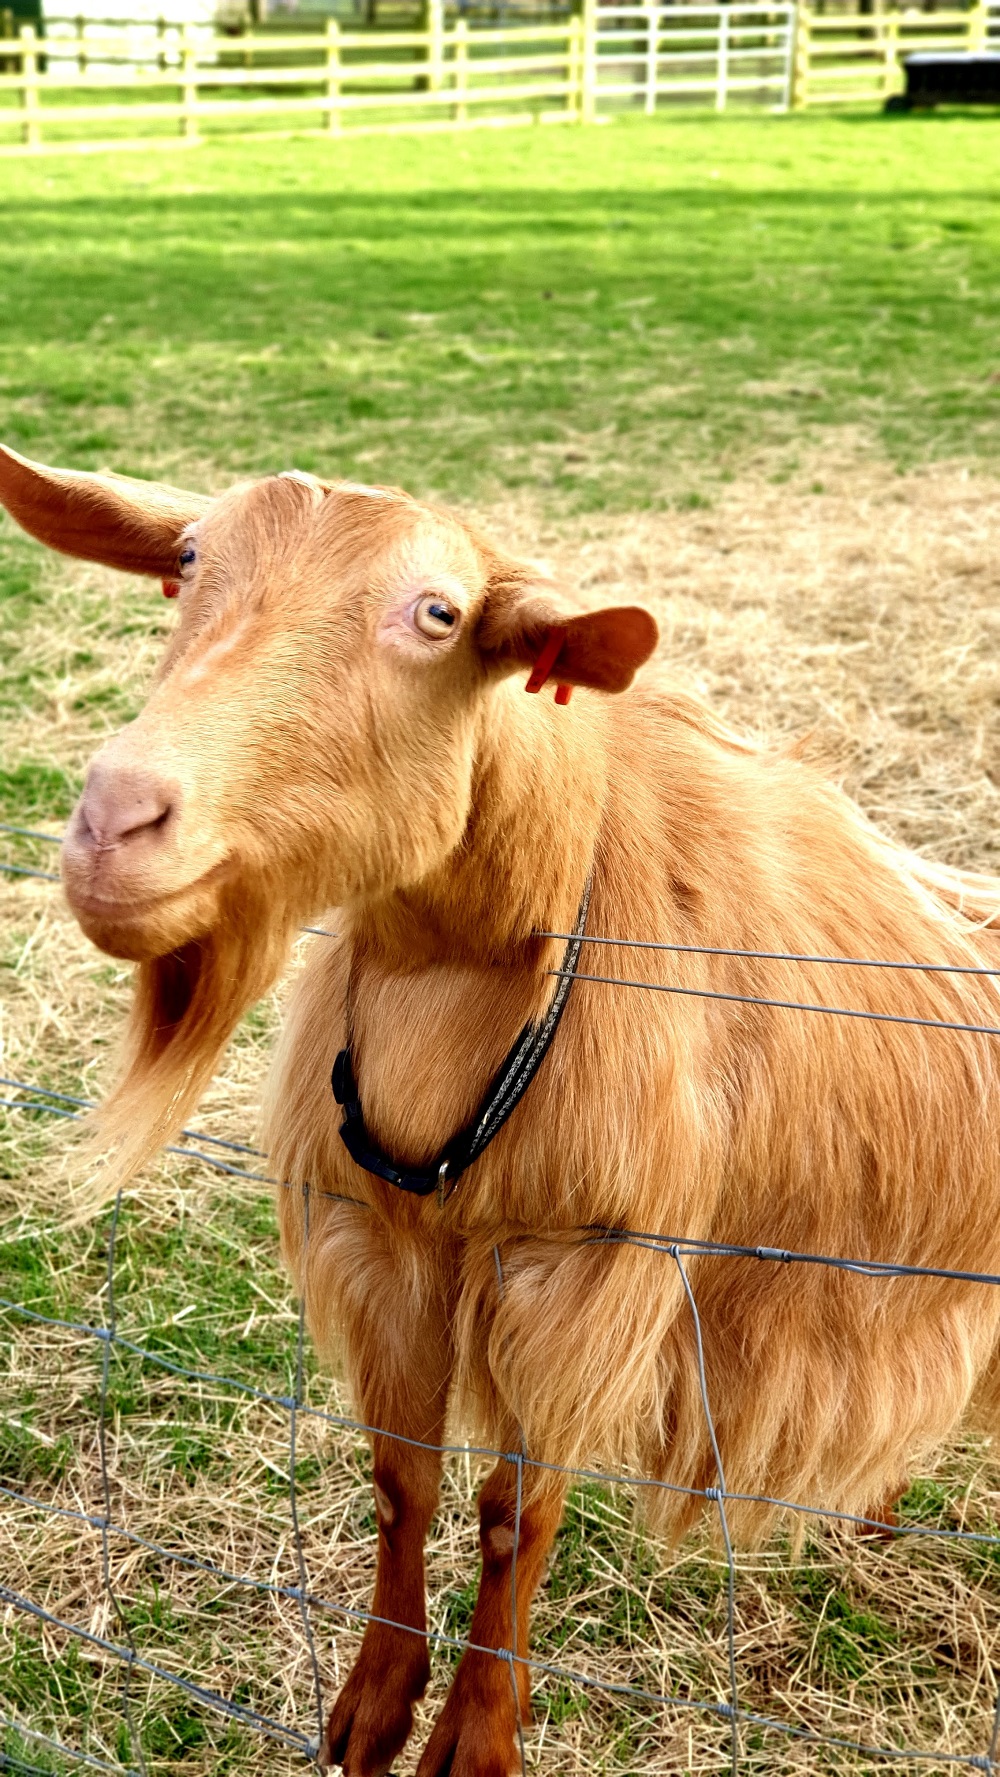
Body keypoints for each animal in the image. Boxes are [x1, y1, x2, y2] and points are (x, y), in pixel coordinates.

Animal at [4, 440, 1000, 1777]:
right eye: (188, 561)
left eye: (437, 616)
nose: (116, 822)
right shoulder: (383, 1238)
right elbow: (402, 1480)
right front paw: (371, 1710)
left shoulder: (578, 1267)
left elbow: (510, 1516)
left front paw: (478, 1734)